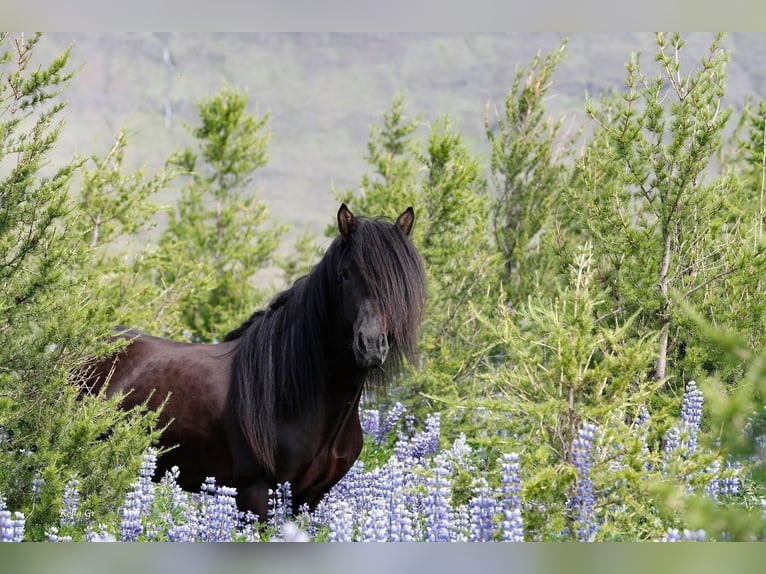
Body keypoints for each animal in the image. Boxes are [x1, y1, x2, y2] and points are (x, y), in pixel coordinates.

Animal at [79, 204, 427, 519]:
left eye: (398, 281)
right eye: (344, 275)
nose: (370, 345)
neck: (293, 392)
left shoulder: (308, 501)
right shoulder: (256, 494)